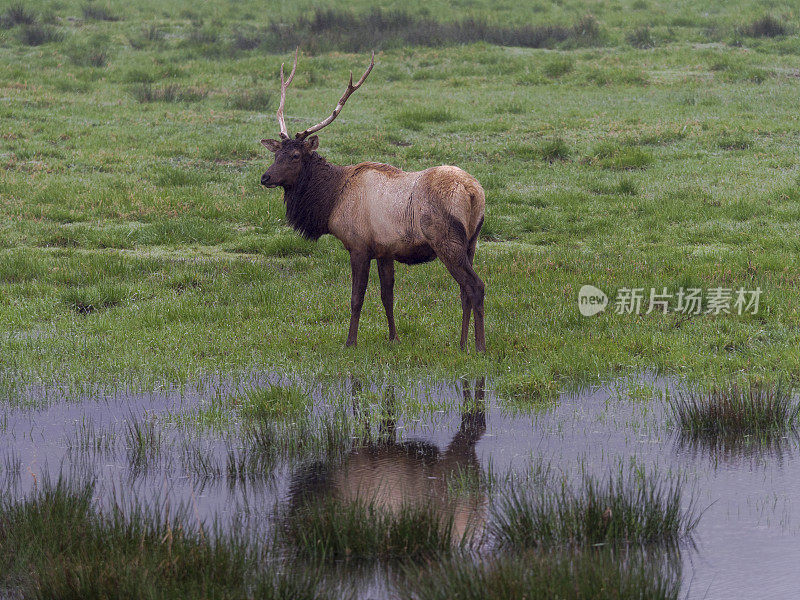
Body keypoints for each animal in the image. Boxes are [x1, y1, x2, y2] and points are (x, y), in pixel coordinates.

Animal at [260, 51, 488, 354]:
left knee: (476, 286)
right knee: (464, 290)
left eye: (296, 155)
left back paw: (480, 347)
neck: (332, 199)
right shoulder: (384, 250)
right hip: (471, 242)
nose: (266, 177)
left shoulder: (358, 246)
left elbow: (356, 298)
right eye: (276, 155)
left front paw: (350, 342)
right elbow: (387, 296)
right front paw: (394, 337)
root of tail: (473, 192)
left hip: (446, 240)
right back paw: (462, 344)